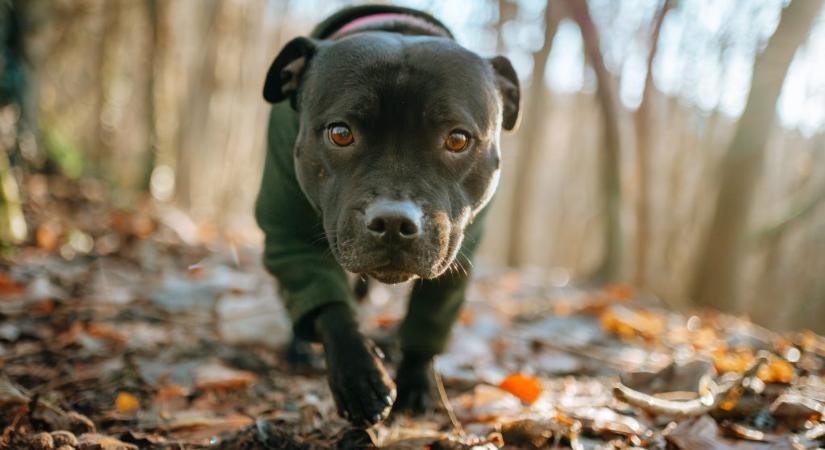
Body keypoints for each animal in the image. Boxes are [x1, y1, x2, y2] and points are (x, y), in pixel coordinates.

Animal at [254, 5, 520, 428]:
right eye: (340, 133)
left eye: (457, 139)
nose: (394, 222)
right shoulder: (287, 231)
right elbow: (328, 304)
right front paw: (357, 377)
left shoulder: (458, 254)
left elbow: (428, 319)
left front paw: (414, 380)